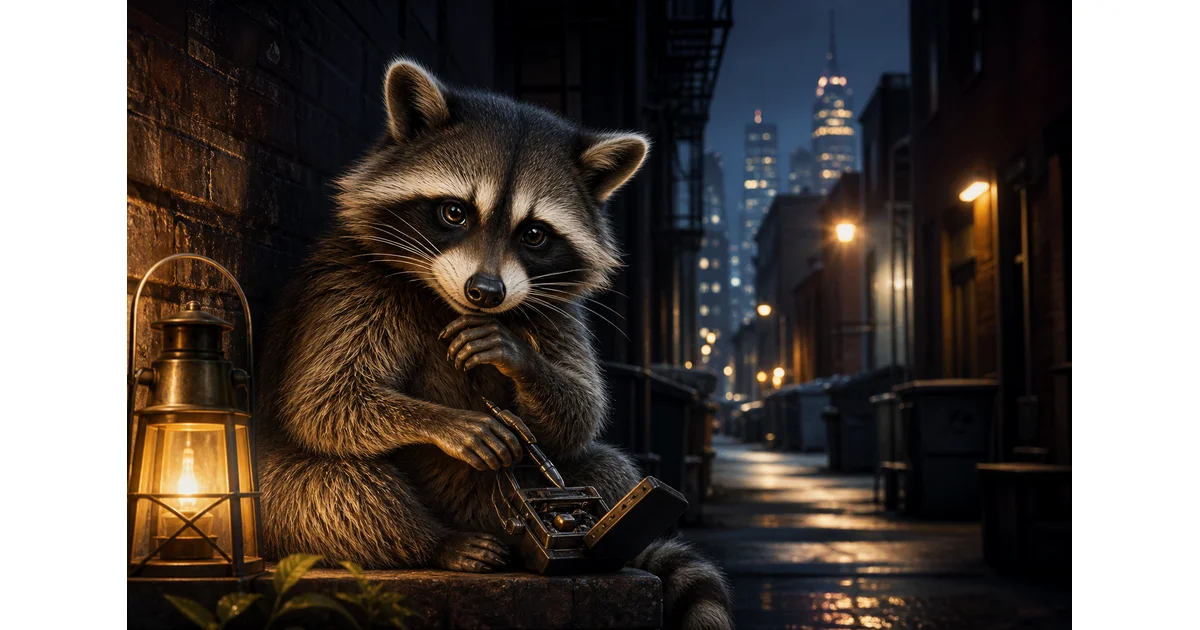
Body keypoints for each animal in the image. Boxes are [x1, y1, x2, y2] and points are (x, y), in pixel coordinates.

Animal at [257, 59, 733, 630]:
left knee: (610, 469)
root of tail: (497, 526)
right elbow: (326, 400)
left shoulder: (558, 311)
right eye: (454, 212)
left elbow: (580, 410)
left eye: (534, 234)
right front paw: (449, 421)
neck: (451, 303)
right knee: (327, 484)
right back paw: (435, 543)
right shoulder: (353, 283)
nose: (485, 292)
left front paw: (512, 353)